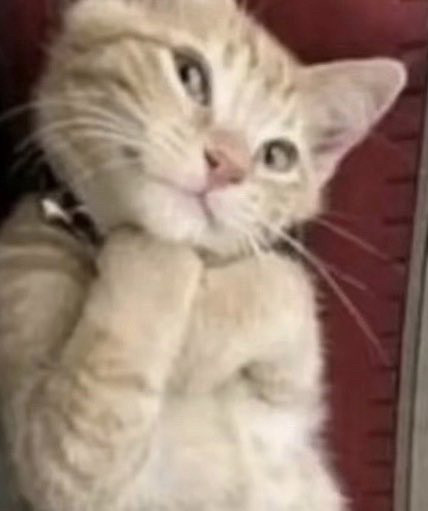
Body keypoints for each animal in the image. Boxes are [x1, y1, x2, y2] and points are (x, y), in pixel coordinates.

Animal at [0, 0, 406, 510]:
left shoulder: (293, 392)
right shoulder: (46, 463)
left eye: (278, 155)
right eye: (190, 74)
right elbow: (86, 426)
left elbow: (283, 281)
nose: (227, 165)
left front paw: (192, 348)